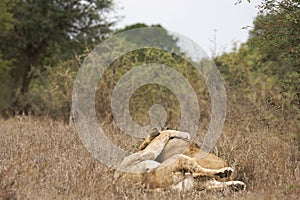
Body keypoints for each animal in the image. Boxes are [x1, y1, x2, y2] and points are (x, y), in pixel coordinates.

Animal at [115, 128, 246, 191]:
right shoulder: (150, 151)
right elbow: (166, 133)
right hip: (178, 158)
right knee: (198, 172)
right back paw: (225, 173)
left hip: (190, 181)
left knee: (208, 182)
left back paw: (237, 185)